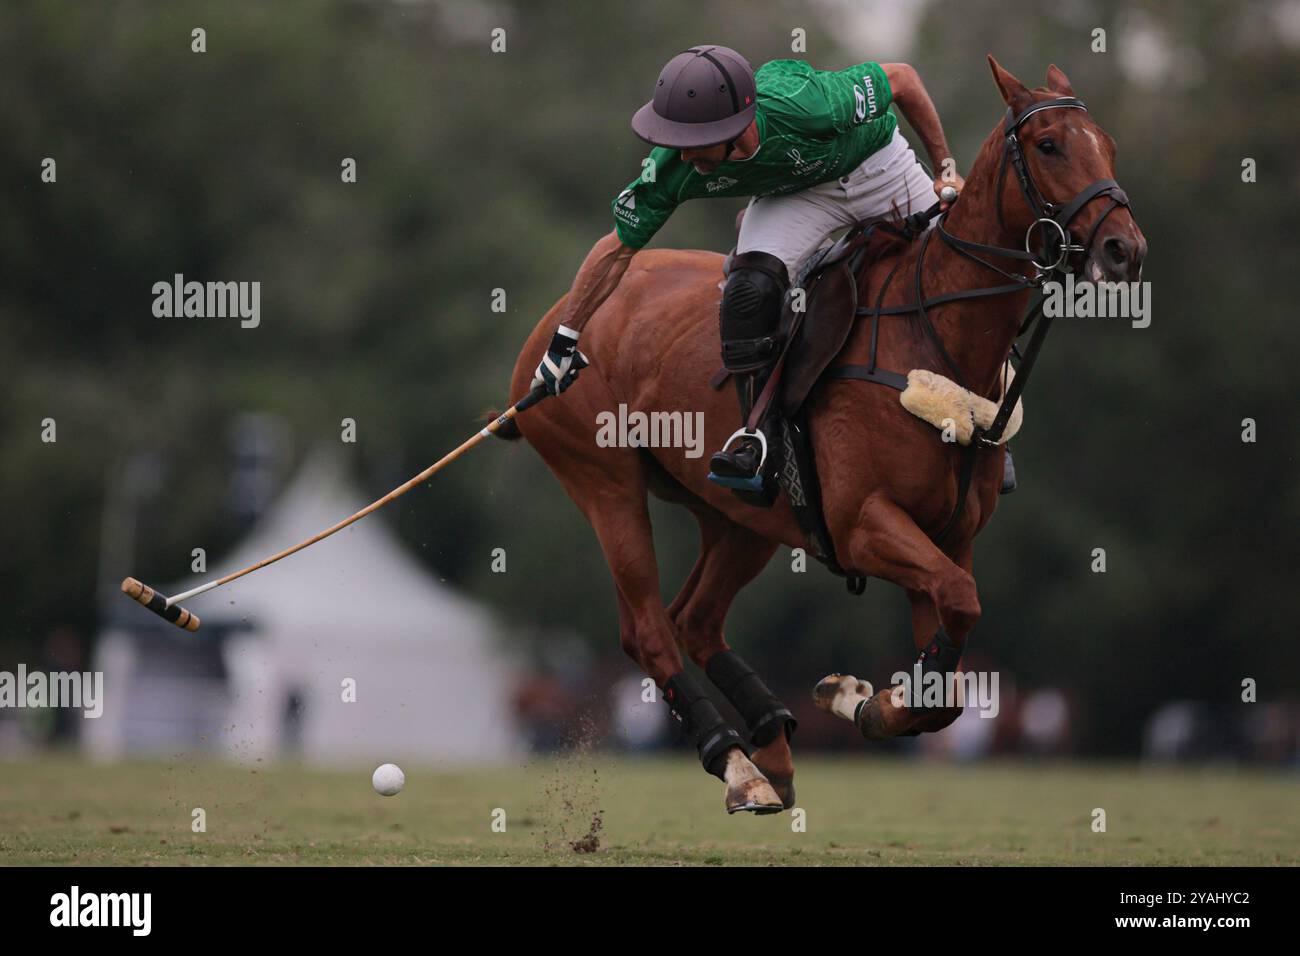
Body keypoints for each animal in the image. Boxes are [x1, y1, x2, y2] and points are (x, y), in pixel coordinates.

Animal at [501, 55, 1144, 811]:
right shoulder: (863, 522)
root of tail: (551, 320)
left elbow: (947, 682)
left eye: (1107, 144)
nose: (1124, 249)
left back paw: (772, 749)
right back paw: (738, 763)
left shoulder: (949, 536)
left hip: (739, 517)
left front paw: (856, 698)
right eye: (1047, 145)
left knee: (695, 617)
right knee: (648, 629)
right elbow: (959, 605)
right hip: (605, 484)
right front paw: (856, 699)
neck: (935, 334)